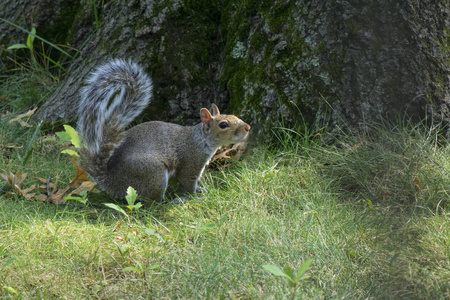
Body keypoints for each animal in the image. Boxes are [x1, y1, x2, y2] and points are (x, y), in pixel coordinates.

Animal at [78, 59, 253, 202]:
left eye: (234, 115)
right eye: (223, 125)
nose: (248, 127)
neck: (200, 139)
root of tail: (111, 181)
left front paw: (200, 189)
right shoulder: (191, 162)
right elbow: (188, 182)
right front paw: (194, 196)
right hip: (153, 174)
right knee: (153, 201)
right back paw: (173, 201)